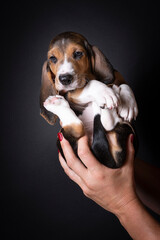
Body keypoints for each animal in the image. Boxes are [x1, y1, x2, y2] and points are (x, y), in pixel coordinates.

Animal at [39, 31, 138, 168]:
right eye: (52, 58)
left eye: (78, 53)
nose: (64, 79)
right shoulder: (71, 92)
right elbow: (87, 85)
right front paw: (104, 92)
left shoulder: (116, 76)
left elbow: (123, 84)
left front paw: (128, 104)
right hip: (61, 139)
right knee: (79, 128)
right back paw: (57, 104)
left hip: (127, 129)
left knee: (106, 124)